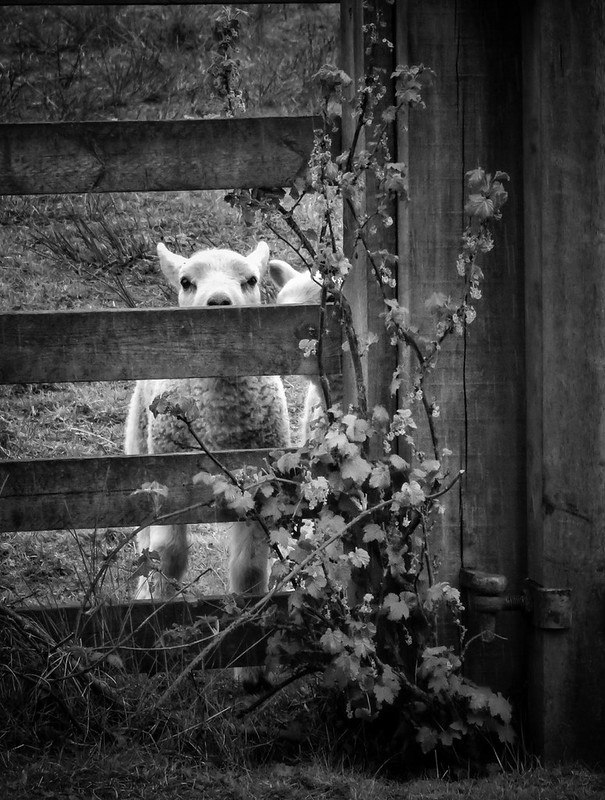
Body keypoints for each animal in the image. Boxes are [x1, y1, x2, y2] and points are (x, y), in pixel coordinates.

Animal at [125, 241, 293, 618]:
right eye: (186, 282)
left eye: (251, 280)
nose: (218, 302)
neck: (220, 423)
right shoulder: (169, 480)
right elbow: (168, 556)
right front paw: (155, 607)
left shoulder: (258, 487)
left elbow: (250, 568)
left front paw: (248, 611)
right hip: (139, 446)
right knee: (143, 540)